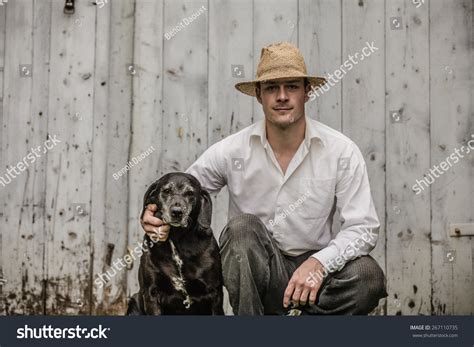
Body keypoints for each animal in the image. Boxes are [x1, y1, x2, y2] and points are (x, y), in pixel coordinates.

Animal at [125, 173, 223, 316]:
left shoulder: (215, 294)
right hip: (134, 301)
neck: (177, 238)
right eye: (166, 191)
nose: (177, 212)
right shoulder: (151, 294)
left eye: (190, 193)